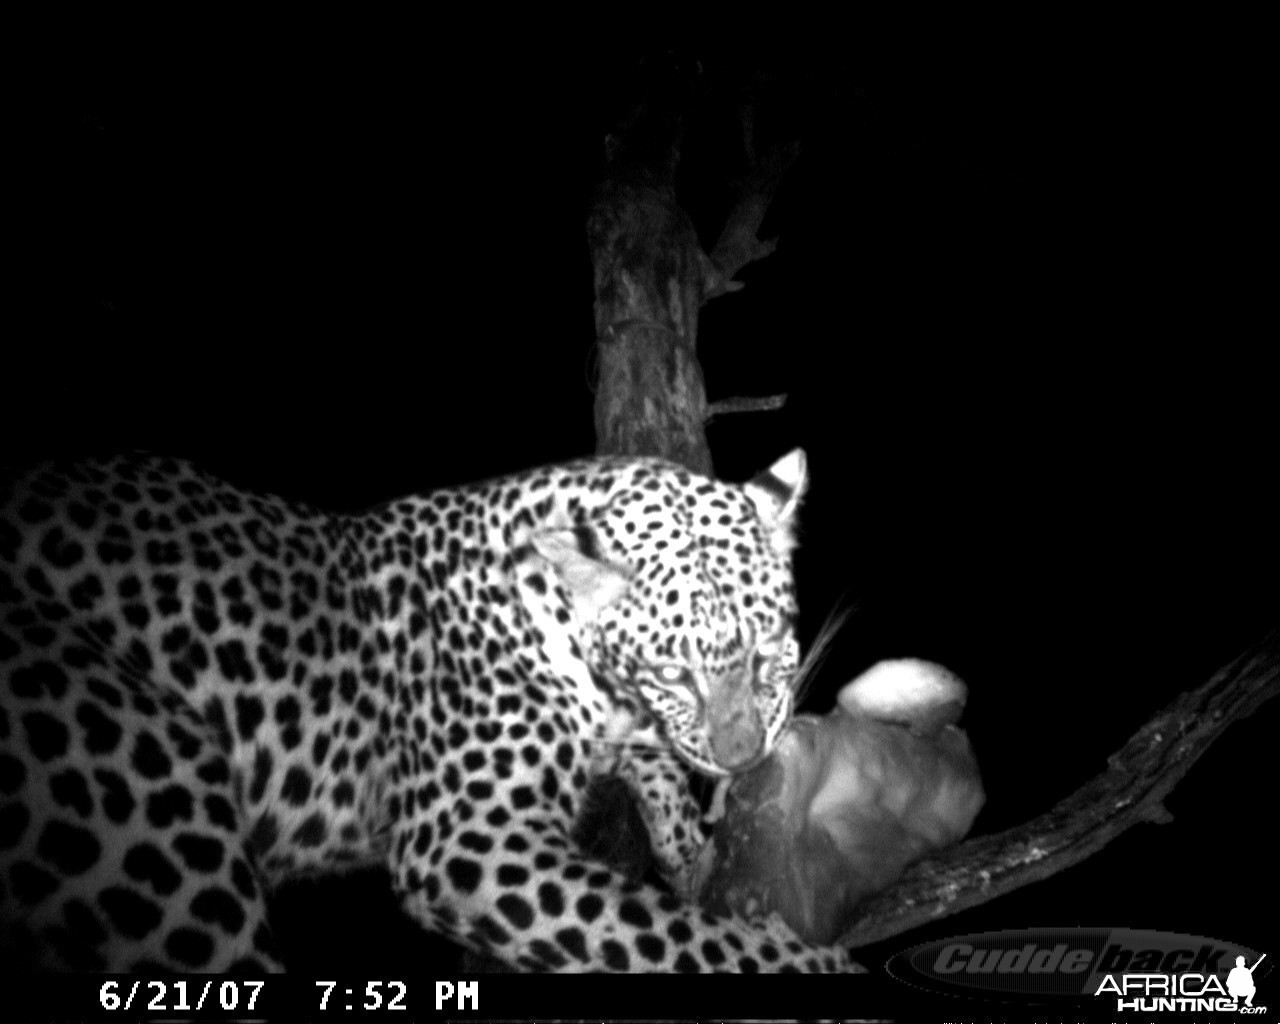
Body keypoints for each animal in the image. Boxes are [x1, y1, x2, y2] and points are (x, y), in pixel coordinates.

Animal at [2, 450, 860, 977]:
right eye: (676, 670)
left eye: (768, 649)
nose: (745, 758)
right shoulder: (468, 843)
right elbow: (667, 936)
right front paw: (810, 967)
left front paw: (687, 842)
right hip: (167, 836)